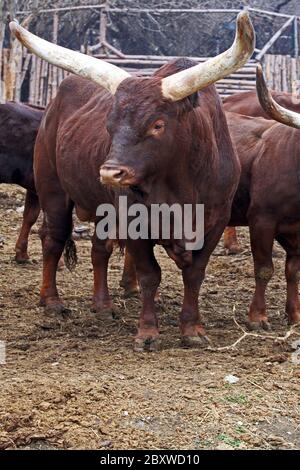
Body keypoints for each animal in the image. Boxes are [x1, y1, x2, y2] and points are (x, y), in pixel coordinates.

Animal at [8, 11, 253, 348]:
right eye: (109, 124)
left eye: (157, 124)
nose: (111, 173)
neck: (180, 186)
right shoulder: (135, 221)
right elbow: (149, 274)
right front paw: (148, 333)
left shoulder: (215, 222)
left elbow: (194, 274)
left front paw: (192, 329)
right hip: (53, 190)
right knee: (53, 238)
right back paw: (52, 301)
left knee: (100, 248)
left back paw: (103, 305)